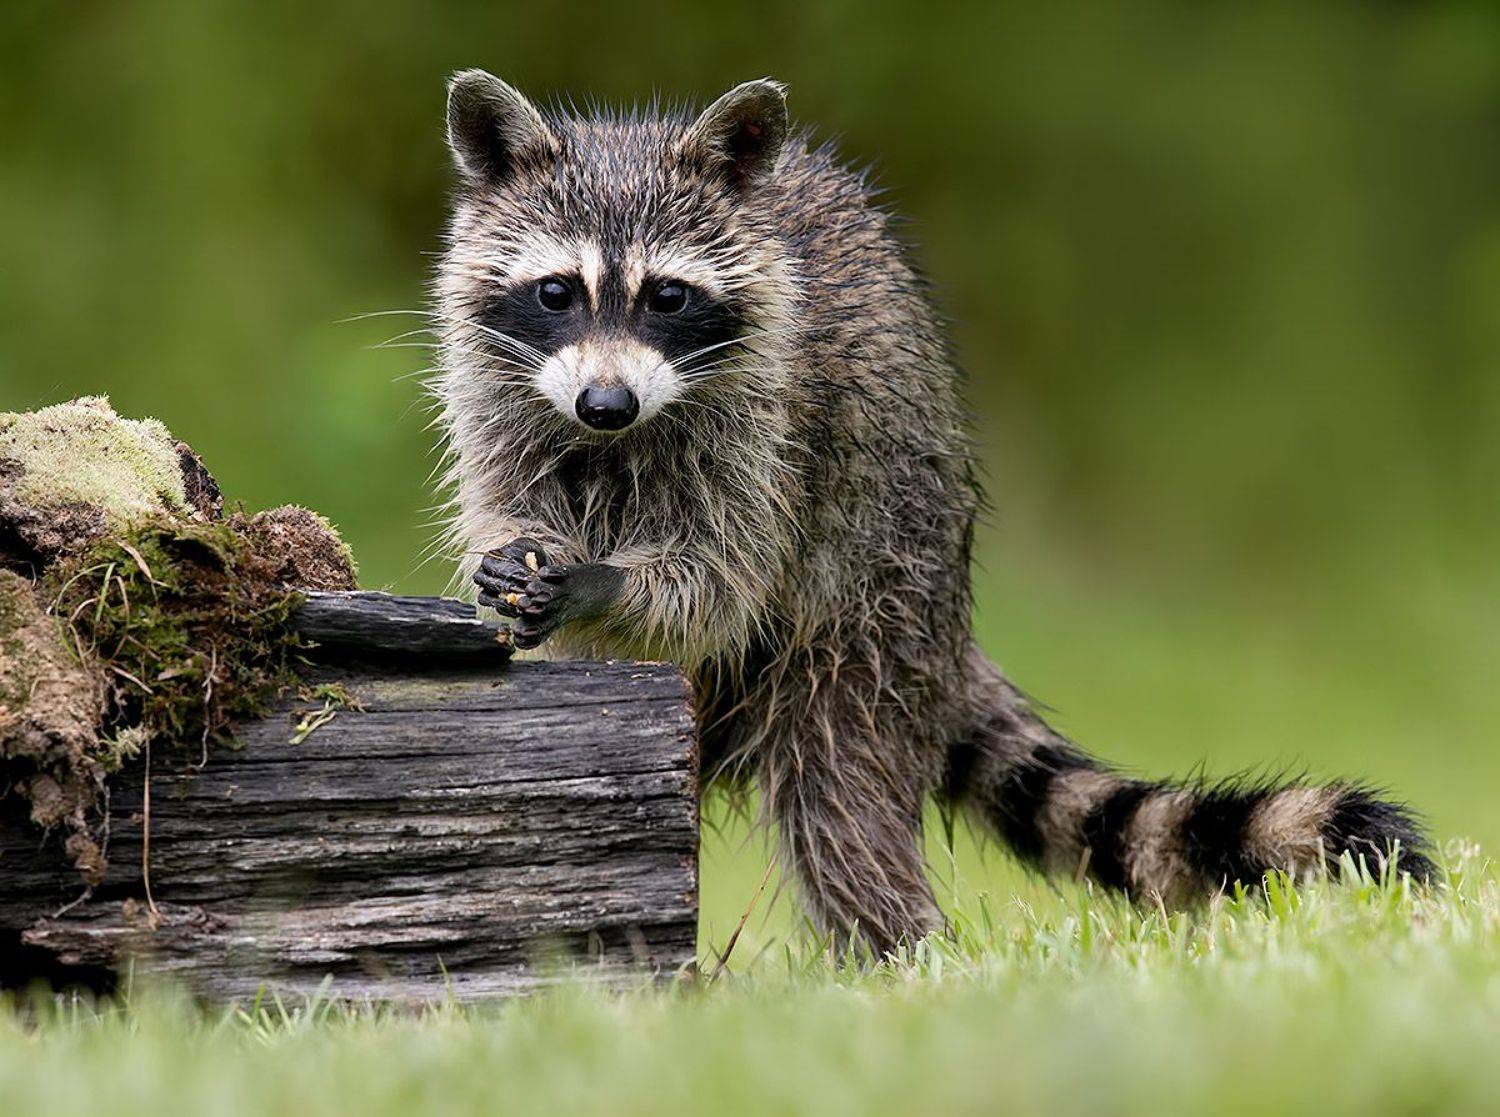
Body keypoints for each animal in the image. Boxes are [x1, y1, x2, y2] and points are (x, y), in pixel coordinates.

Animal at [433, 71, 1430, 955]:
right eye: (557, 290)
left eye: (667, 295)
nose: (606, 405)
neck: (614, 436)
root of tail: (950, 619)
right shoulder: (499, 398)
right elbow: (511, 502)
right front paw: (524, 560)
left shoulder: (775, 431)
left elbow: (720, 582)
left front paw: (604, 580)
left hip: (878, 594)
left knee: (840, 792)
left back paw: (901, 955)